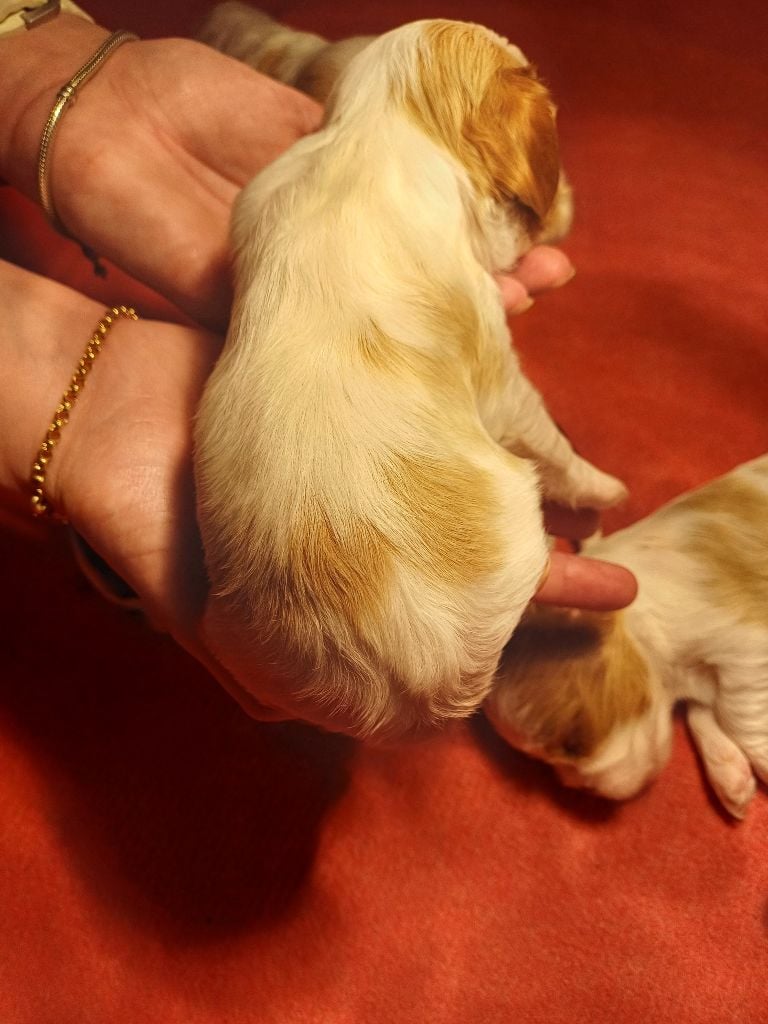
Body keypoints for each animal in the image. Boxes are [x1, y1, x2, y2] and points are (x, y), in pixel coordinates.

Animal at [485, 455, 768, 819]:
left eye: (574, 745)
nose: (588, 792)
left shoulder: (744, 645)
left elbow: (737, 715)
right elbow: (706, 710)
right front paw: (732, 778)